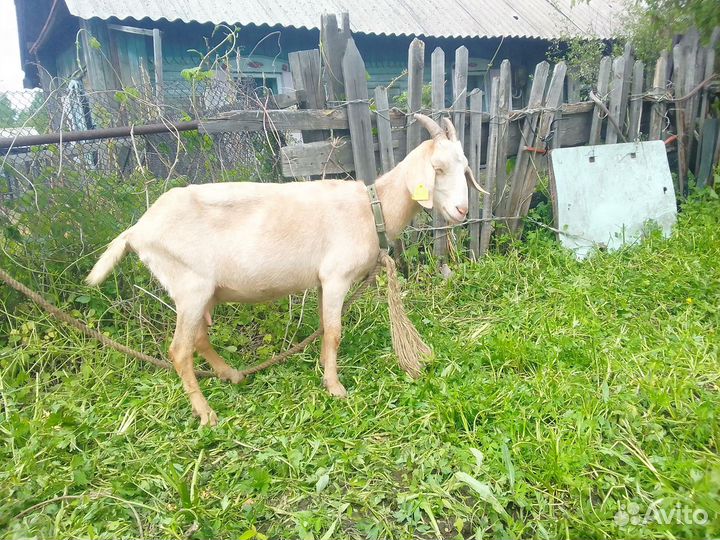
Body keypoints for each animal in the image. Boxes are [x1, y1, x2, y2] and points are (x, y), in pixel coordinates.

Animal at [86, 114, 486, 426]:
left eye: (465, 168)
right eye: (437, 170)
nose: (462, 211)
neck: (372, 207)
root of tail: (138, 230)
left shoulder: (324, 282)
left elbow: (324, 327)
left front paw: (324, 372)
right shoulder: (336, 276)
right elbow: (334, 332)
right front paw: (336, 388)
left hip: (200, 292)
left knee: (198, 339)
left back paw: (232, 375)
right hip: (190, 286)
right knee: (179, 350)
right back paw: (206, 413)